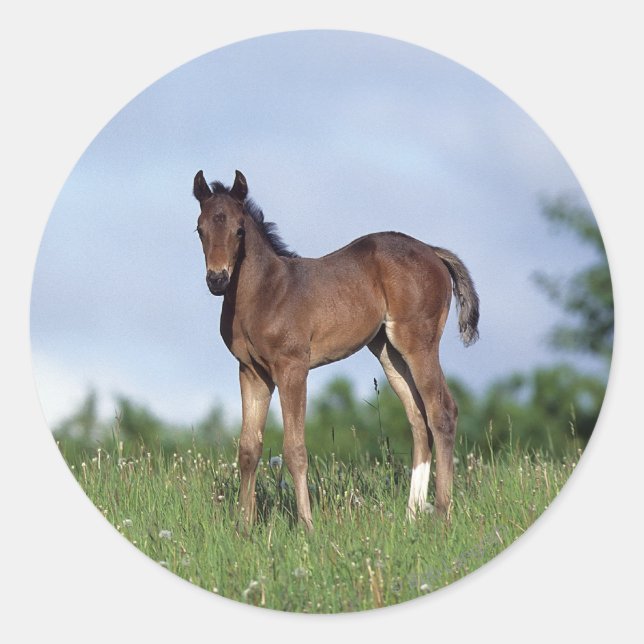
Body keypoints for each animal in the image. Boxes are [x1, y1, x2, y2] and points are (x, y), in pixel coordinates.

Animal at [193, 170, 479, 531]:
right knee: (418, 419)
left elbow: (295, 449)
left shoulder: (292, 367)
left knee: (442, 412)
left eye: (239, 229)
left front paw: (307, 525)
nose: (217, 279)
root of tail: (432, 250)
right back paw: (410, 515)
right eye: (199, 229)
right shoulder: (252, 372)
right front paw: (243, 528)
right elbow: (248, 449)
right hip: (388, 351)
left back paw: (442, 513)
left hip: (419, 342)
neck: (264, 292)